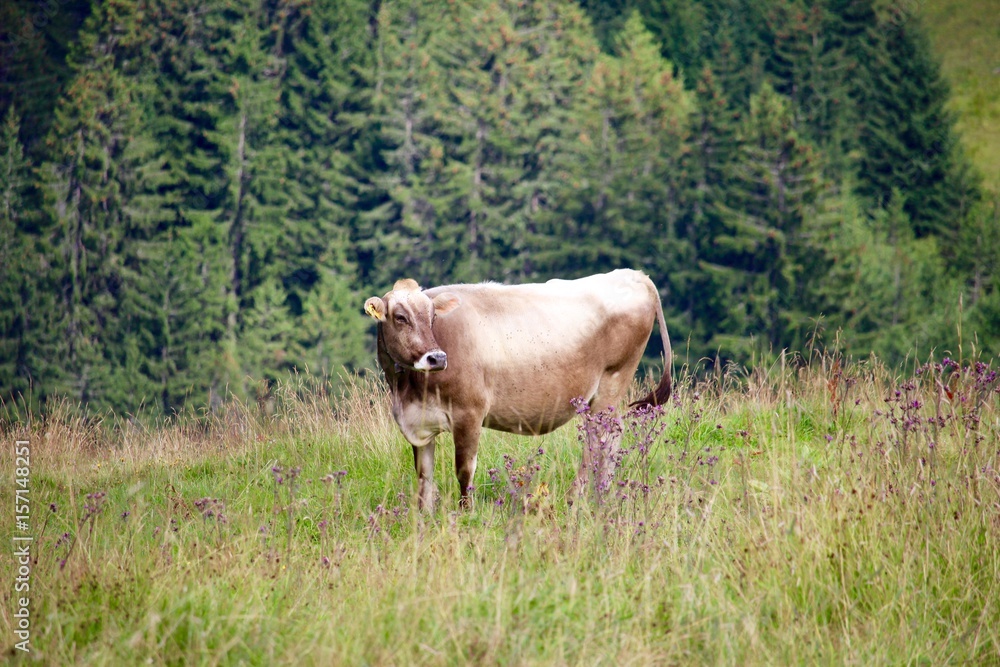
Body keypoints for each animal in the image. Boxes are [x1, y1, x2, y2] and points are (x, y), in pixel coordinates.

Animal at [363, 269, 672, 510]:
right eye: (400, 317)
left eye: (432, 317)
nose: (436, 358)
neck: (408, 390)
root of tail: (634, 275)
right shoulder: (419, 423)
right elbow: (423, 477)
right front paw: (424, 518)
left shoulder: (469, 413)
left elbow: (464, 471)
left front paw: (465, 514)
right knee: (613, 437)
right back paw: (602, 496)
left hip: (610, 382)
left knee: (597, 441)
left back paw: (577, 498)